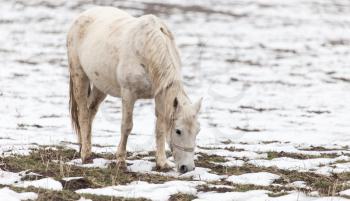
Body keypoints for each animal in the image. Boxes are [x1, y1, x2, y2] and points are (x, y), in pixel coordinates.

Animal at [66, 6, 201, 173]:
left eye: (197, 131)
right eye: (178, 131)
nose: (187, 167)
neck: (147, 49)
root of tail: (84, 15)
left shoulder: (160, 95)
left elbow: (160, 128)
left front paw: (162, 163)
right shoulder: (128, 94)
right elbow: (127, 126)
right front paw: (121, 160)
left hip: (100, 85)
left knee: (91, 111)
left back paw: (84, 147)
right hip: (79, 76)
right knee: (84, 114)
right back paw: (85, 154)